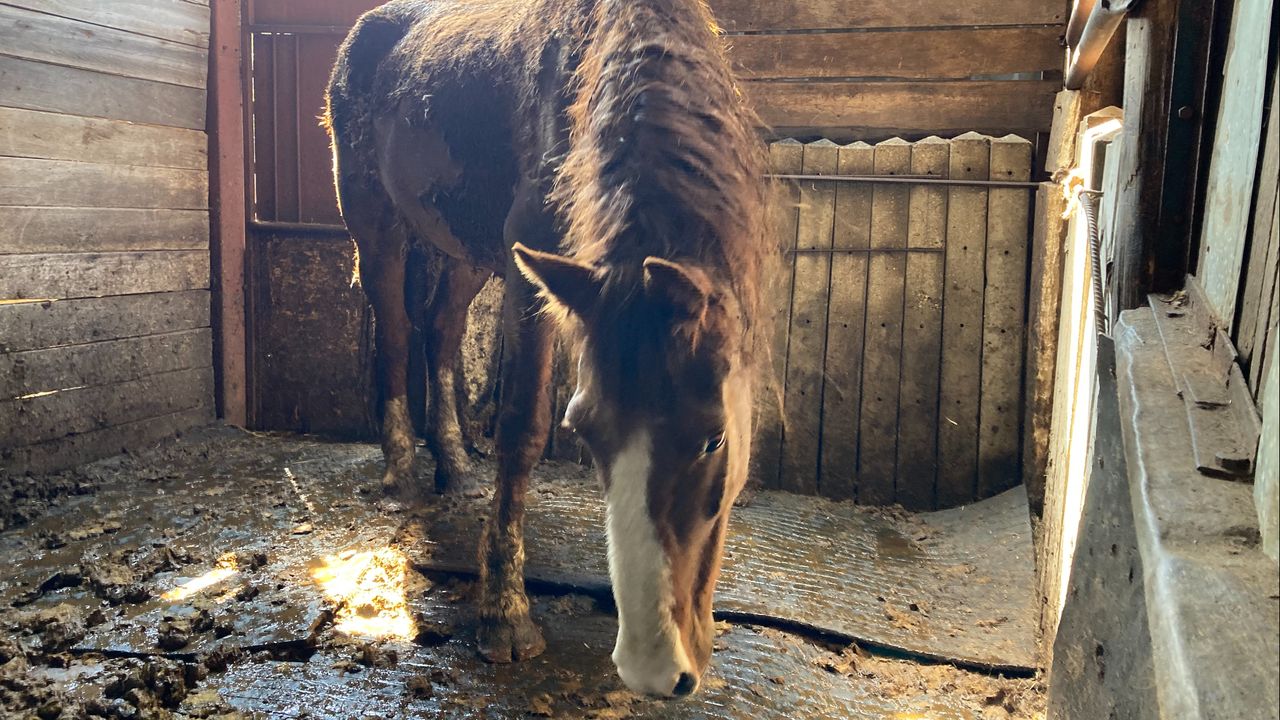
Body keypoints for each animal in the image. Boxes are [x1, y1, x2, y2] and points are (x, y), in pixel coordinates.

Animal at [324, 0, 770, 697]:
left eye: (713, 439)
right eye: (583, 431)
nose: (653, 670)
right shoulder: (532, 274)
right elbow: (522, 427)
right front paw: (505, 617)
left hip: (468, 249)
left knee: (440, 329)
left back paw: (455, 466)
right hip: (376, 226)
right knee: (396, 332)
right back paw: (402, 474)